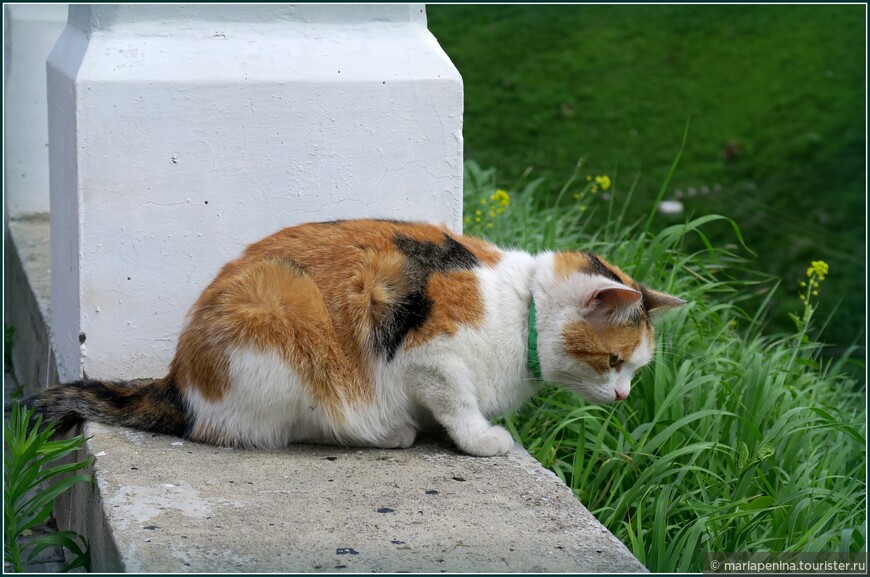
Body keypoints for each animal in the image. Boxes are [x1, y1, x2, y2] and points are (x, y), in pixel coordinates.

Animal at [29, 218, 688, 456]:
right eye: (613, 361)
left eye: (635, 370)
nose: (625, 397)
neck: (520, 303)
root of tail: (177, 381)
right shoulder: (432, 358)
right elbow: (458, 403)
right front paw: (482, 439)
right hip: (282, 316)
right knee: (277, 427)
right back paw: (386, 431)